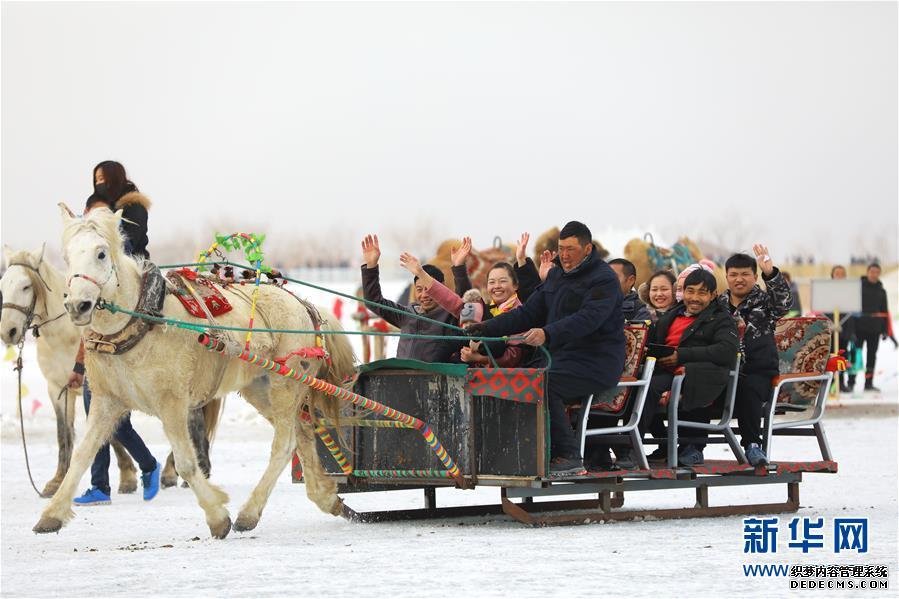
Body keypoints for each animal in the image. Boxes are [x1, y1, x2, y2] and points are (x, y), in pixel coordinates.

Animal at [1, 245, 139, 496]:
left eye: (26, 286)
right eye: (3, 285)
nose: (8, 331)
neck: (65, 337)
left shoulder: (97, 390)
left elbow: (111, 434)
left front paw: (127, 476)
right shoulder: (57, 389)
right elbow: (63, 433)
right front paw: (57, 481)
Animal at [37, 206, 356, 540]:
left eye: (100, 253)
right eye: (67, 256)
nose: (77, 305)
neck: (143, 322)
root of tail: (305, 305)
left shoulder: (173, 403)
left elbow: (187, 464)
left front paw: (217, 517)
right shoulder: (106, 401)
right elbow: (82, 455)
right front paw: (52, 514)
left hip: (286, 384)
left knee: (284, 445)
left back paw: (249, 513)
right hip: (260, 387)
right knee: (303, 433)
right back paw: (325, 496)